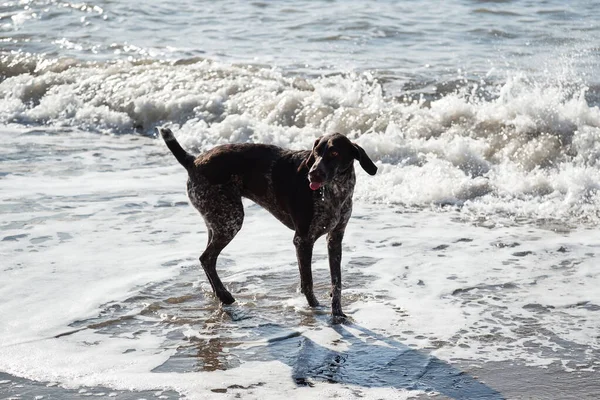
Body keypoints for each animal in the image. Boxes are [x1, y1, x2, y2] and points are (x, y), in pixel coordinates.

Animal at [159, 128, 376, 318]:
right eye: (316, 152)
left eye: (334, 152)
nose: (313, 174)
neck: (335, 192)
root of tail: (193, 161)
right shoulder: (303, 240)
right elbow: (308, 282)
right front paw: (315, 307)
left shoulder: (335, 238)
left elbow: (336, 282)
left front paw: (337, 312)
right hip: (231, 220)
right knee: (206, 258)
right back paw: (224, 296)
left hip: (217, 221)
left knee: (207, 259)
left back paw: (219, 295)